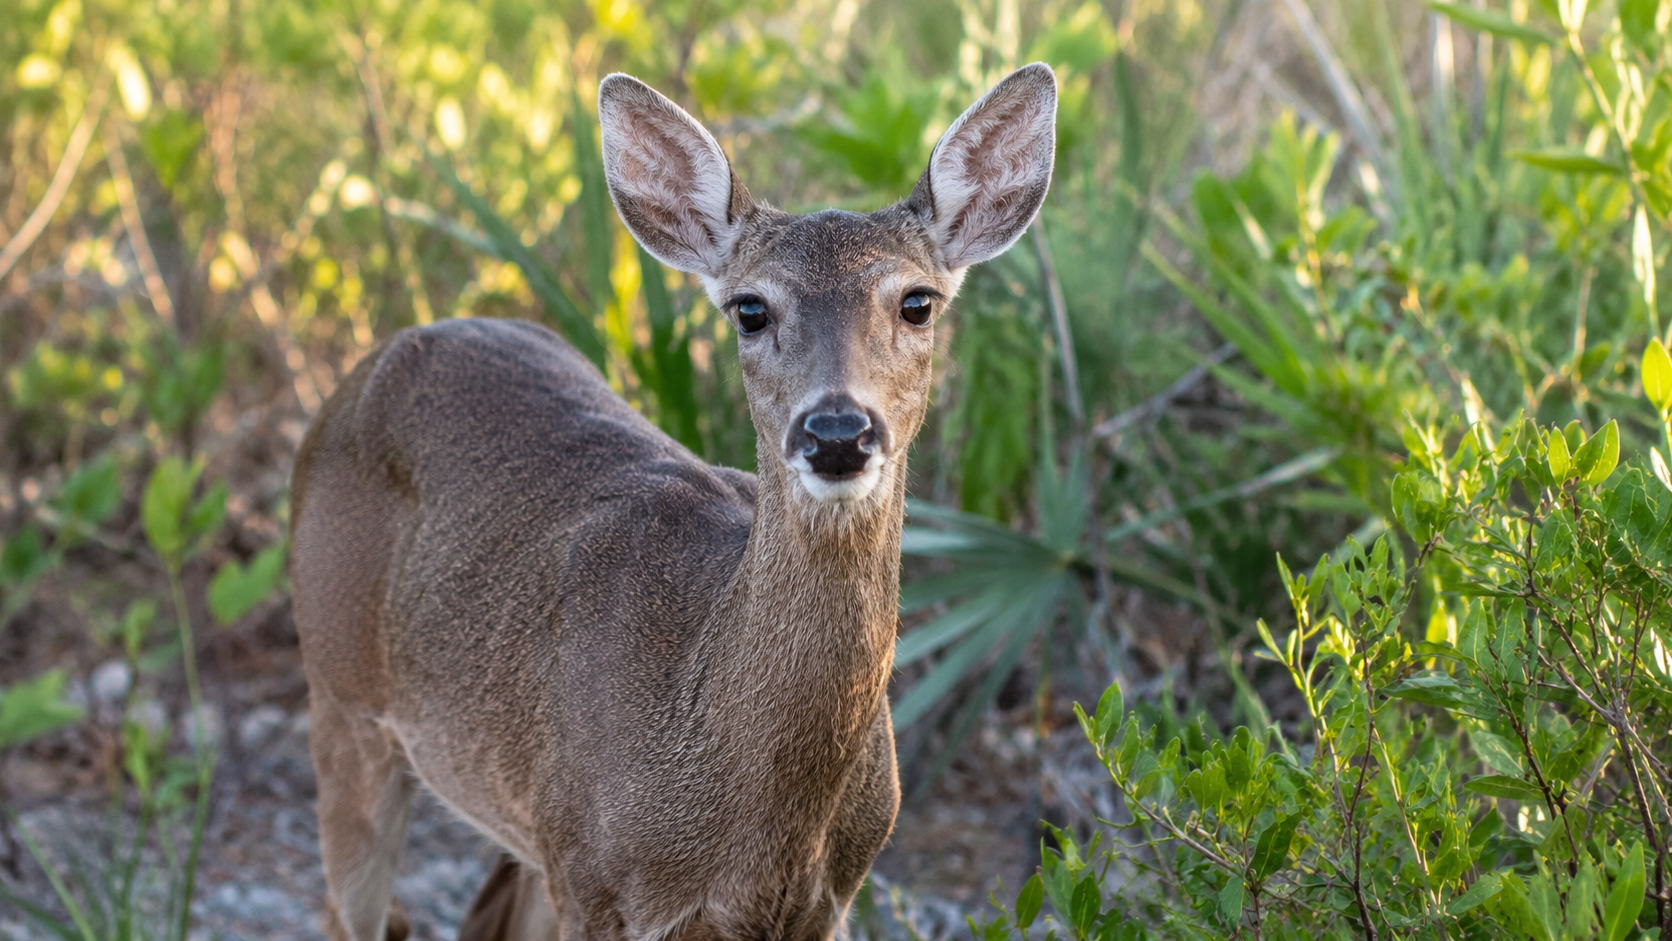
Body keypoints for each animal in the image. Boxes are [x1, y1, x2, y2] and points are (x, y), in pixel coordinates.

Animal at [288, 62, 1057, 941]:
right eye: (750, 308)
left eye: (918, 301)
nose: (836, 430)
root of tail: (367, 366)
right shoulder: (596, 880)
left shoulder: (831, 895)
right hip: (341, 695)